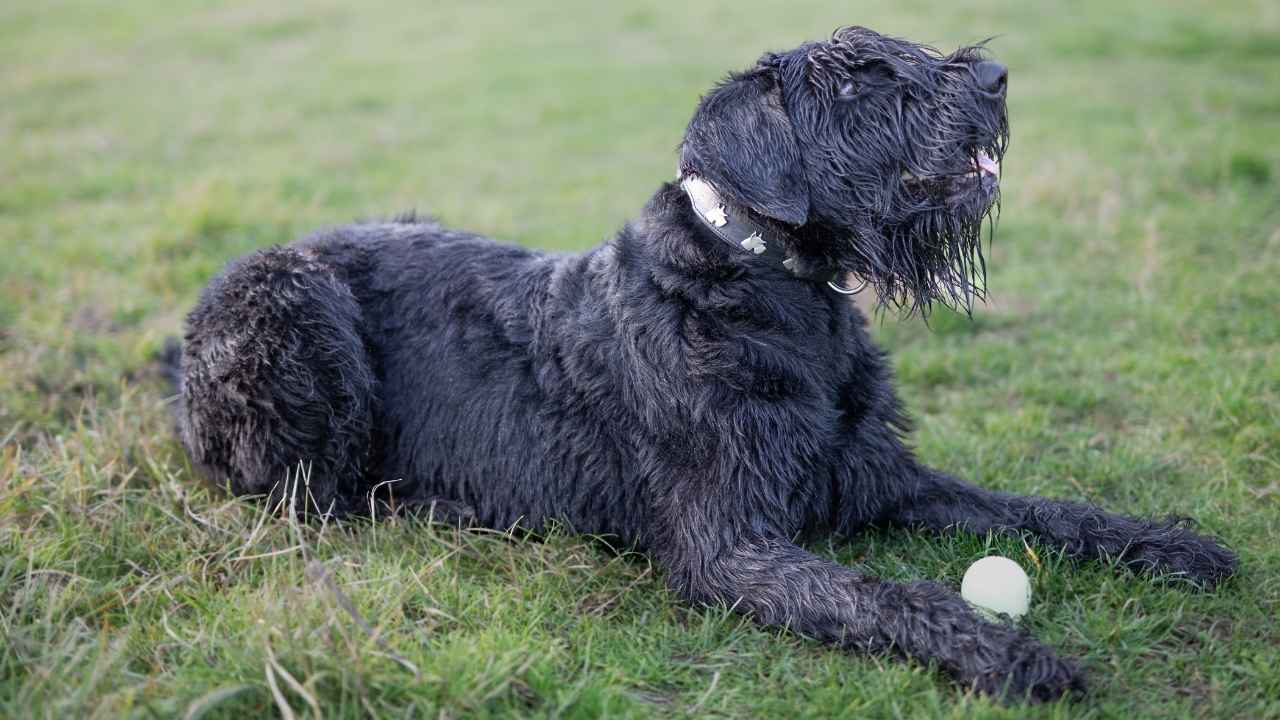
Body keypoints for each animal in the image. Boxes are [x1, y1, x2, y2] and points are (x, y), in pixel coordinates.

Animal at [167, 26, 1228, 696]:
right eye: (853, 84)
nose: (996, 81)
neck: (772, 288)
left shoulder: (886, 480)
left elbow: (1037, 509)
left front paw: (1168, 545)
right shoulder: (730, 545)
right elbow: (882, 594)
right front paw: (1005, 654)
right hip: (293, 309)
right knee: (293, 490)